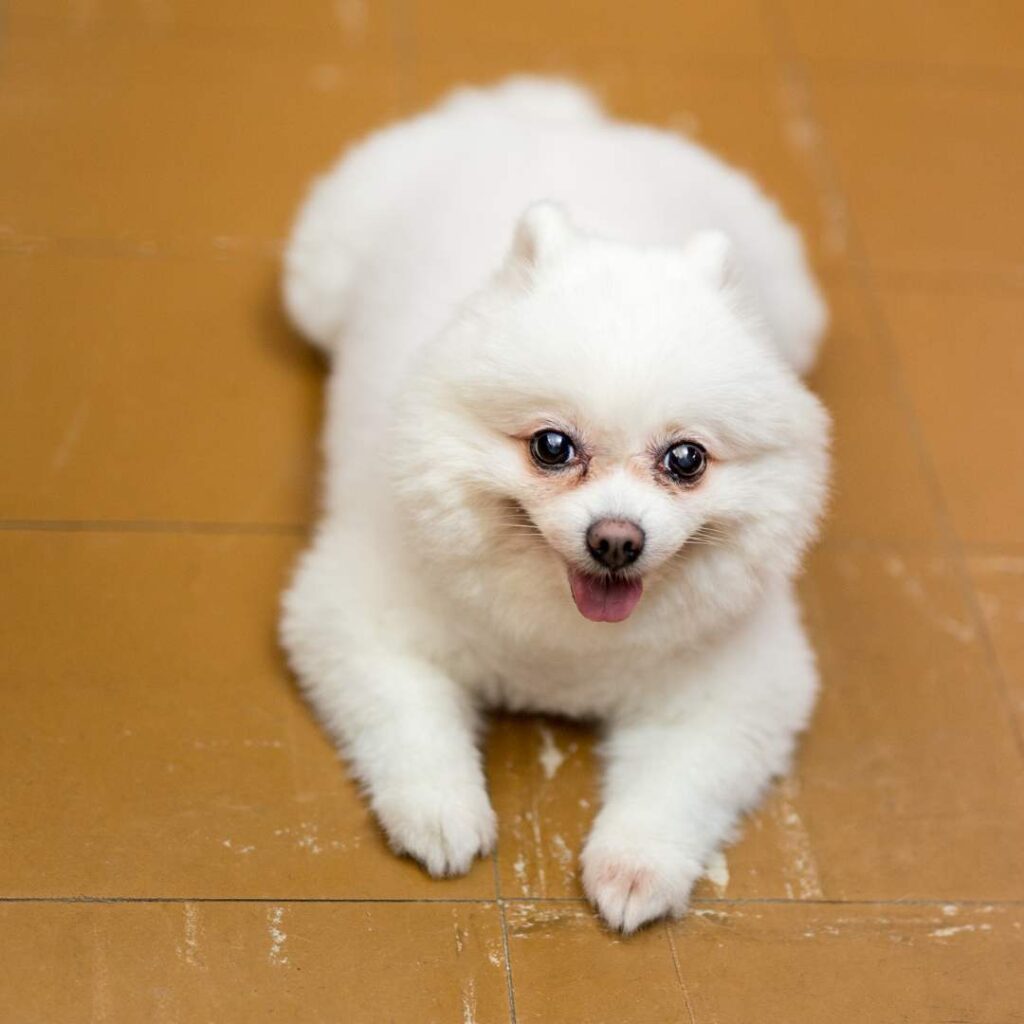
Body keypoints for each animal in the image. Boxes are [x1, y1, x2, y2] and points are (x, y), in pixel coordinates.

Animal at [280, 75, 831, 933]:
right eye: (551, 447)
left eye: (685, 460)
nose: (616, 539)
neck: (564, 653)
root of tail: (554, 120)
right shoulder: (358, 616)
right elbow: (408, 720)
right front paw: (442, 810)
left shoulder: (738, 685)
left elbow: (679, 785)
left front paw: (634, 866)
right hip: (315, 280)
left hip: (798, 314)